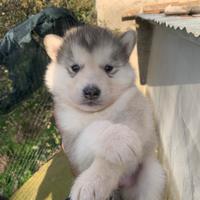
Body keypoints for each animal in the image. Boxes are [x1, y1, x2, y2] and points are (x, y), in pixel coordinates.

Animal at [44, 25, 166, 200]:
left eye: (109, 68)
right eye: (75, 68)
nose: (91, 92)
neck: (97, 113)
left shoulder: (138, 116)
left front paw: (92, 181)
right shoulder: (73, 147)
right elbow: (91, 129)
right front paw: (118, 137)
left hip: (153, 173)